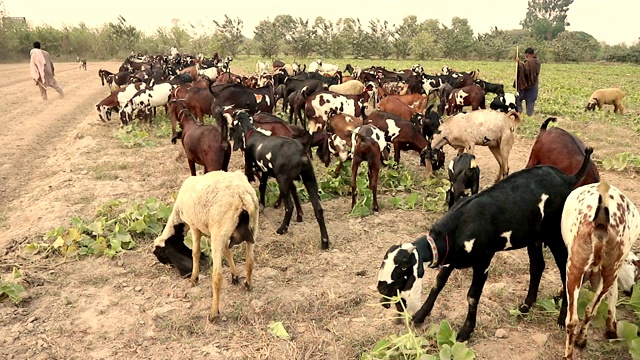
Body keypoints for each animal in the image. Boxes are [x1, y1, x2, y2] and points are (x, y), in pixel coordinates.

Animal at [152, 170, 258, 322]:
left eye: (162, 255)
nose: (170, 267)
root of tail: (241, 195)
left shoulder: (195, 227)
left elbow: (195, 252)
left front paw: (193, 278)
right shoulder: (218, 235)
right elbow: (227, 251)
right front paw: (235, 276)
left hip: (219, 230)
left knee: (217, 275)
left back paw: (213, 313)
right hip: (252, 228)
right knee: (250, 261)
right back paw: (248, 285)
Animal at [231, 111, 330, 249]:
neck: (252, 133)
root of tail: (301, 155)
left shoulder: (249, 169)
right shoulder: (265, 171)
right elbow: (262, 187)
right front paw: (261, 206)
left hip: (283, 181)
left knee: (289, 206)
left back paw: (282, 229)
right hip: (309, 180)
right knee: (318, 209)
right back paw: (324, 241)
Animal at [380, 148, 596, 342]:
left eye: (402, 268)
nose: (382, 291)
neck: (459, 226)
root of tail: (567, 178)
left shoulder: (483, 260)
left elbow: (472, 296)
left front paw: (465, 332)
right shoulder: (451, 257)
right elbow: (437, 284)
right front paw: (420, 316)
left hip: (555, 236)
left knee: (566, 273)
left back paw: (561, 319)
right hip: (534, 237)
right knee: (537, 266)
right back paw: (525, 307)